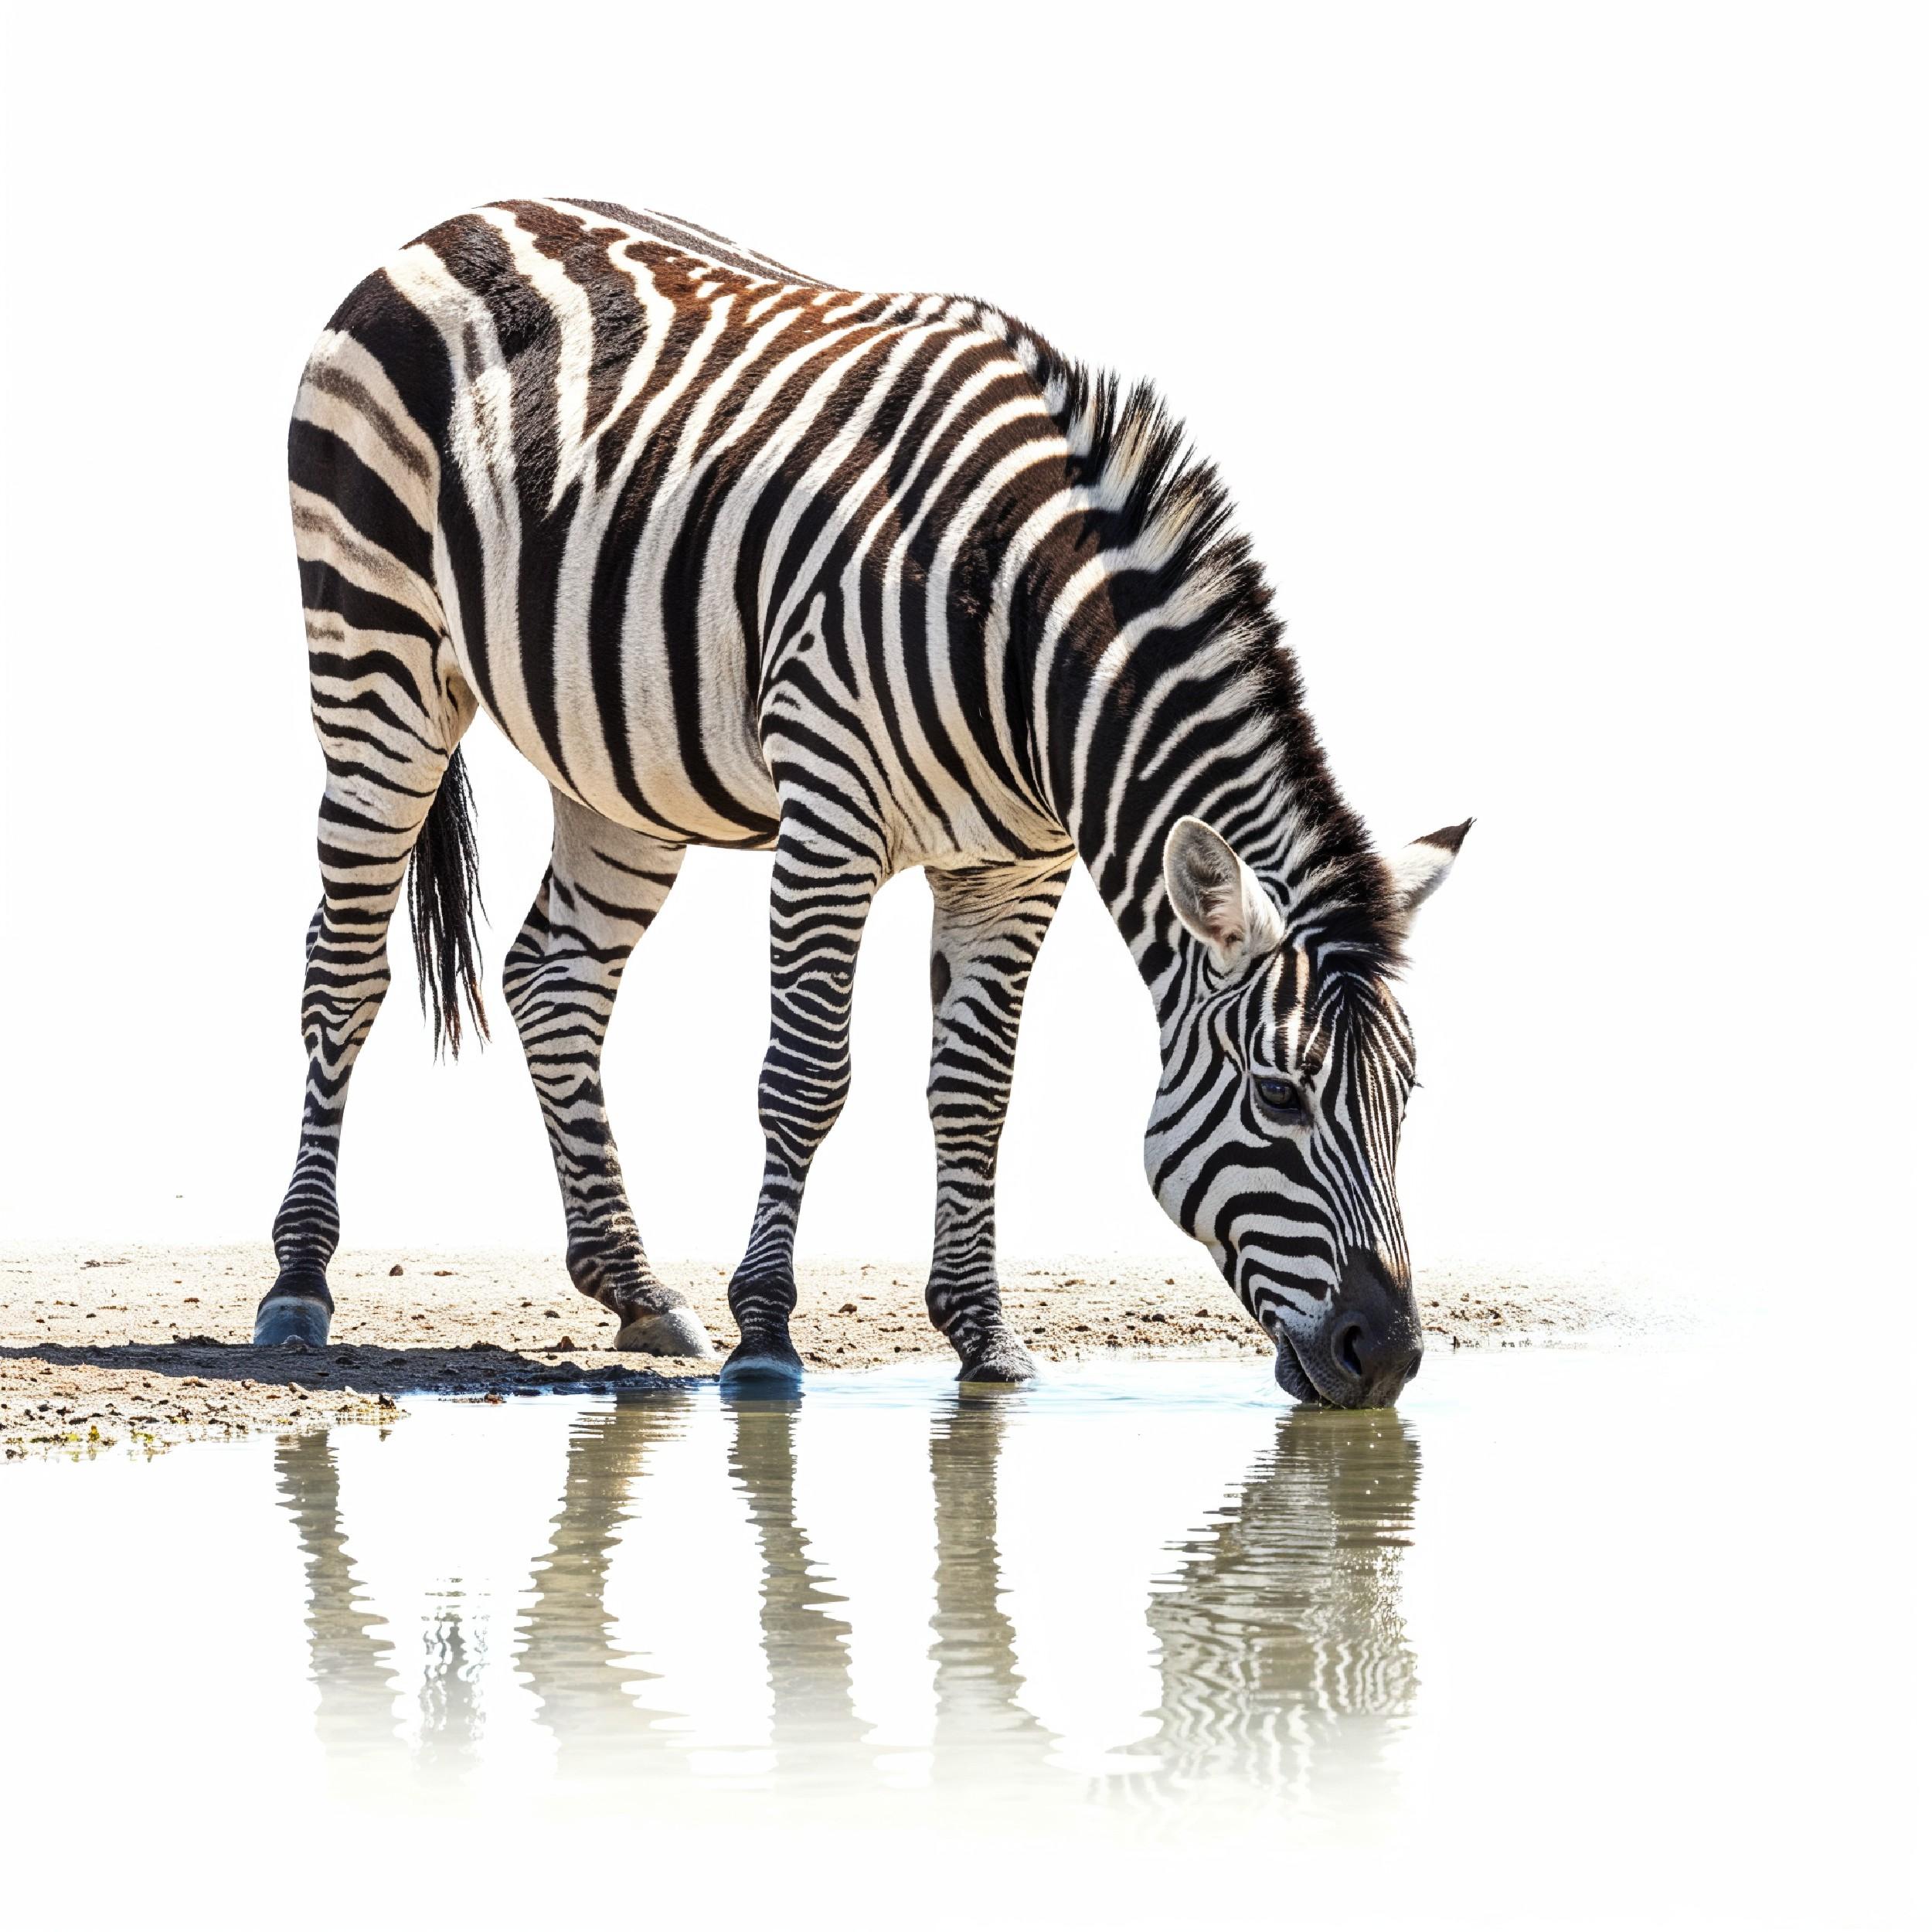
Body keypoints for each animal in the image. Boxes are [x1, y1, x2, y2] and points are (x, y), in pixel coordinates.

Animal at [258, 196, 1468, 1405]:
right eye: (1280, 1096)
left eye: (1407, 1098)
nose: (1387, 1354)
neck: (1017, 628)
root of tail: (465, 219)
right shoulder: (832, 813)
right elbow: (806, 1076)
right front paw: (764, 1335)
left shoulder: (1014, 866)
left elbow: (975, 1092)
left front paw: (985, 1338)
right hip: (376, 660)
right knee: (345, 971)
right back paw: (301, 1284)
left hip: (620, 760)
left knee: (555, 978)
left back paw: (636, 1288)